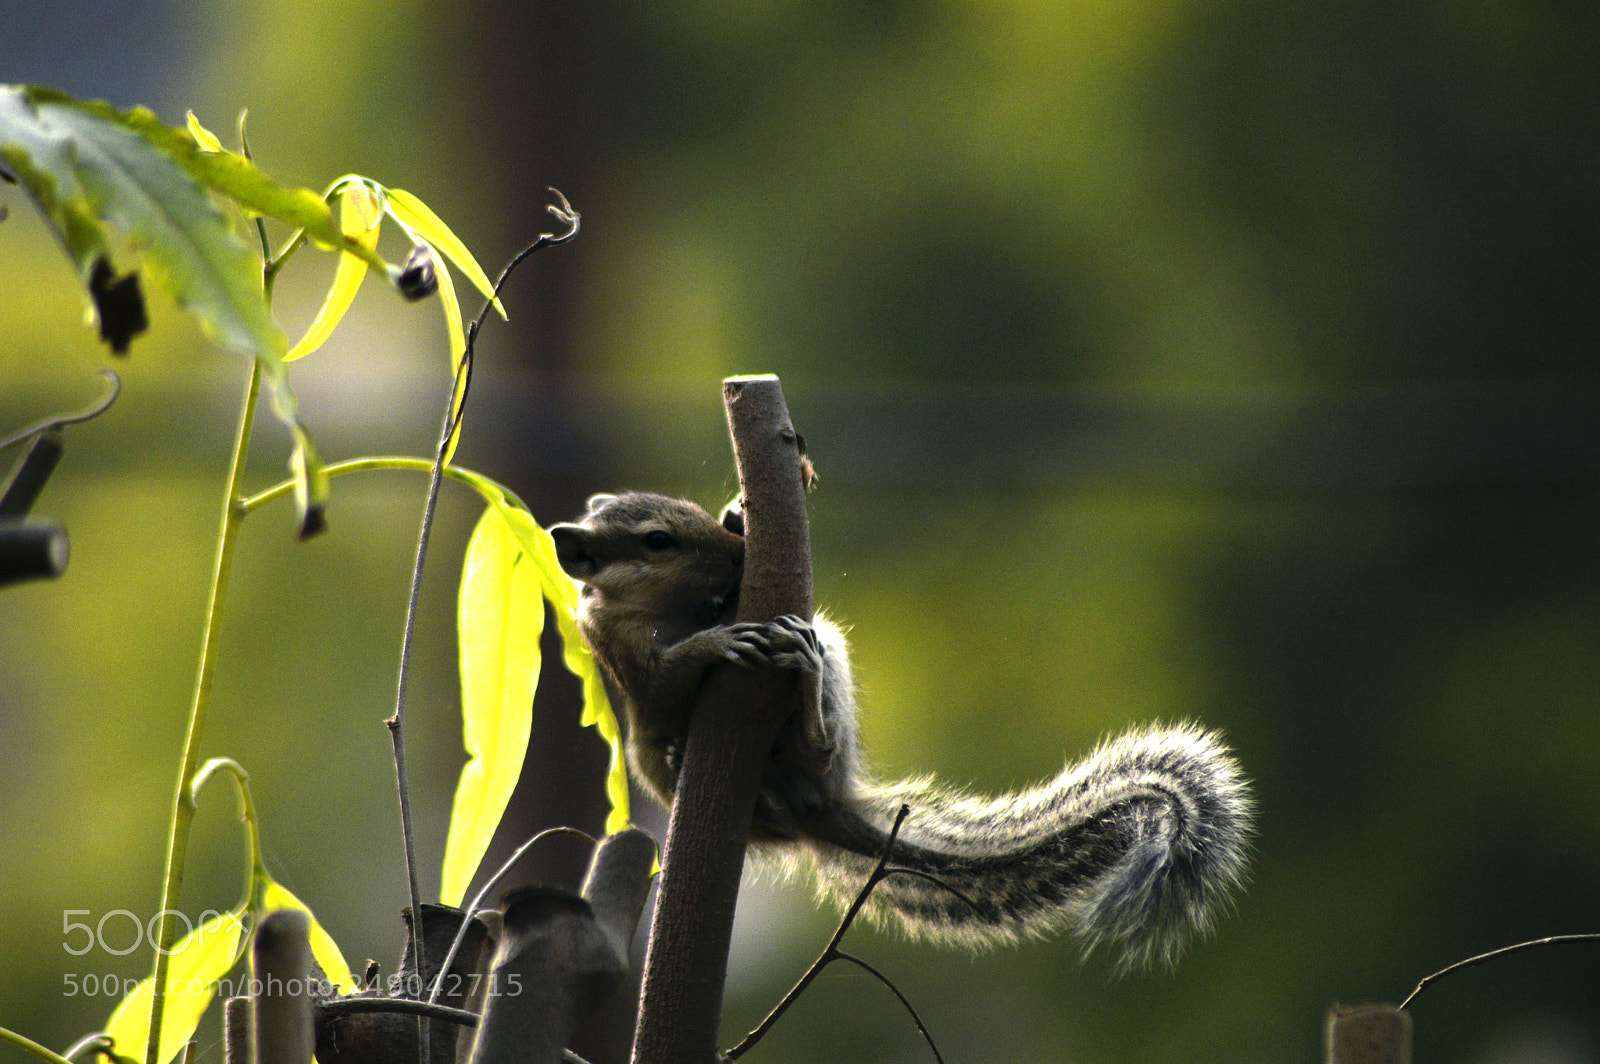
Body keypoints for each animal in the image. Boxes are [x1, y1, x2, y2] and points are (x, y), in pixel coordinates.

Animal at [549, 492, 1253, 969]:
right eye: (657, 541)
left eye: (694, 514)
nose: (736, 554)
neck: (666, 604)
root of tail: (819, 813)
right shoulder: (624, 657)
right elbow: (668, 681)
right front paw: (715, 641)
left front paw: (739, 520)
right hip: (658, 766)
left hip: (826, 651)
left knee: (819, 736)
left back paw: (805, 694)